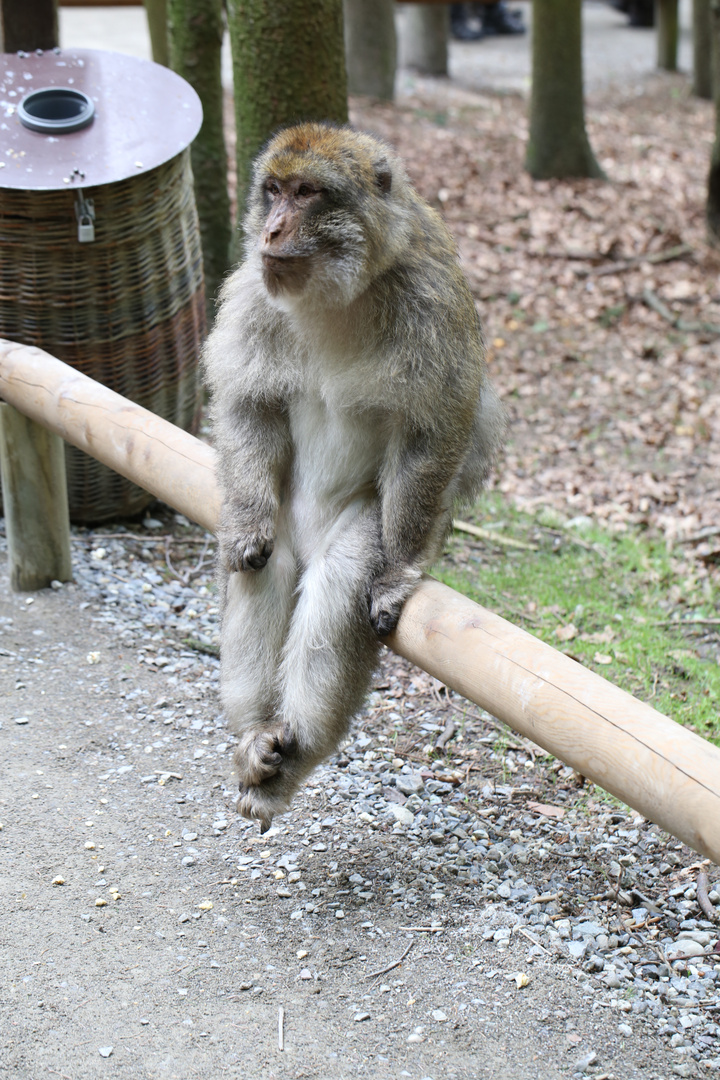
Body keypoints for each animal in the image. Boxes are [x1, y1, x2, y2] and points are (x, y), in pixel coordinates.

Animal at [202, 124, 505, 833]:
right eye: (273, 190)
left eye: (308, 193)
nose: (272, 229)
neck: (336, 294)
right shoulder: (255, 291)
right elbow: (249, 400)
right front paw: (246, 522)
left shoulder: (429, 305)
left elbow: (434, 431)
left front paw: (397, 573)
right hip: (287, 516)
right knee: (268, 568)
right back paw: (258, 738)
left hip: (362, 525)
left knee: (339, 580)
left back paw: (293, 753)